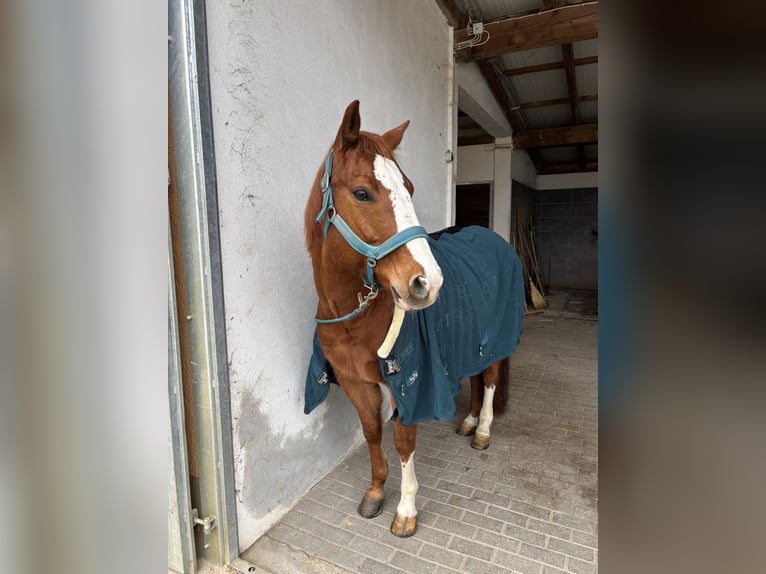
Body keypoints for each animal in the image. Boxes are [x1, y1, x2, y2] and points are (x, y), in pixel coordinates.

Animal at [303, 100, 524, 537]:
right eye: (362, 193)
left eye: (409, 189)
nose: (429, 282)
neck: (354, 316)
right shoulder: (355, 381)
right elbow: (372, 431)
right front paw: (375, 492)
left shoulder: (411, 382)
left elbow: (404, 442)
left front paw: (406, 511)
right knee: (476, 378)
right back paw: (468, 422)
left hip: (494, 341)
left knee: (490, 379)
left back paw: (483, 431)